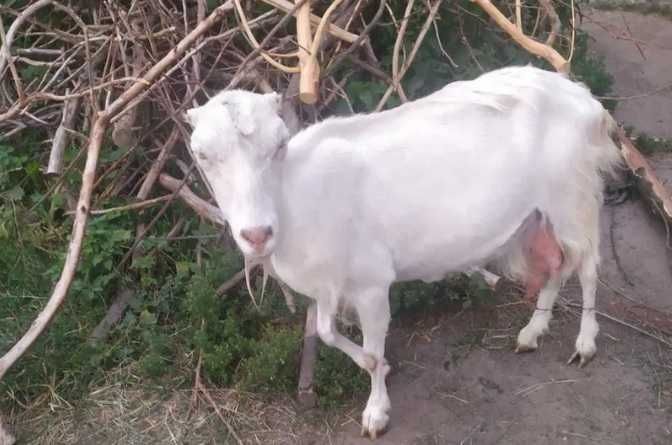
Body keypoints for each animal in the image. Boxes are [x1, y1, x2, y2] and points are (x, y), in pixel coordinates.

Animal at [184, 66, 621, 438]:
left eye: (278, 145)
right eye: (202, 155)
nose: (257, 234)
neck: (299, 195)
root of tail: (587, 101)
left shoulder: (372, 282)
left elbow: (372, 352)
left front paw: (376, 413)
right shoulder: (329, 284)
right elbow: (326, 333)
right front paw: (380, 372)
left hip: (574, 197)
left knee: (589, 268)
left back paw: (585, 344)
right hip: (542, 215)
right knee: (558, 265)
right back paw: (532, 332)